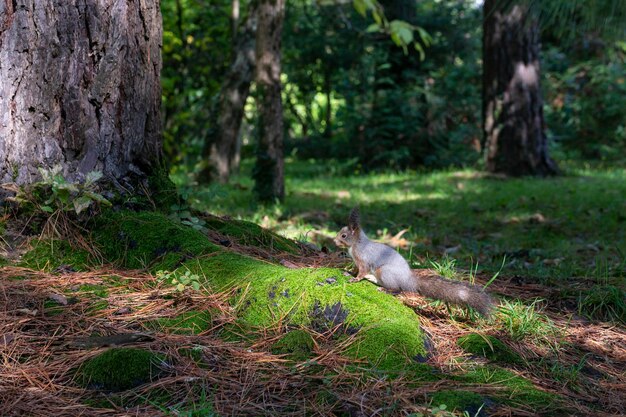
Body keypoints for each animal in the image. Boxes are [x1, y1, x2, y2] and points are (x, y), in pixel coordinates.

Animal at [332, 206, 492, 316]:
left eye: (344, 235)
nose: (334, 241)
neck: (356, 245)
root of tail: (407, 280)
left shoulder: (363, 260)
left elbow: (362, 271)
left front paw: (355, 279)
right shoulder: (356, 261)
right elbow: (355, 269)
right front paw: (348, 272)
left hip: (384, 271)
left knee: (398, 289)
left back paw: (385, 289)